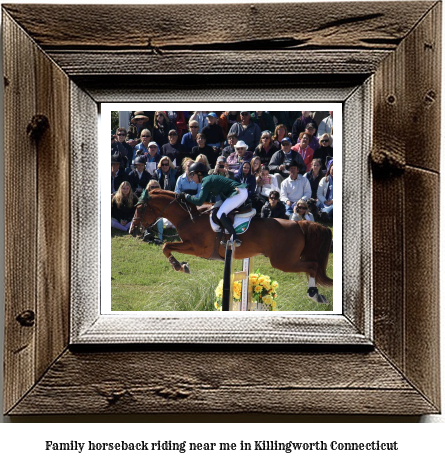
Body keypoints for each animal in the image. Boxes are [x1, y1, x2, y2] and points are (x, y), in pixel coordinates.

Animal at [130, 188, 332, 300]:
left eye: (140, 208)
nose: (133, 230)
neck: (189, 217)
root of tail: (299, 224)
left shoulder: (197, 248)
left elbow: (166, 247)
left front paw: (179, 266)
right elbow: (167, 247)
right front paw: (181, 265)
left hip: (283, 262)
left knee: (312, 266)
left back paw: (314, 294)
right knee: (312, 266)